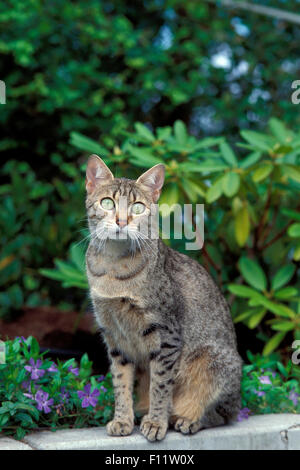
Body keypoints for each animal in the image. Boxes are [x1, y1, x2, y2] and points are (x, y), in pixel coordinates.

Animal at [84, 154, 241, 440]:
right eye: (107, 202)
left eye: (137, 207)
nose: (121, 221)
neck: (113, 266)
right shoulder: (115, 337)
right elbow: (121, 383)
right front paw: (122, 419)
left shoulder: (166, 335)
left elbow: (160, 385)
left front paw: (157, 422)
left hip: (213, 362)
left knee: (223, 414)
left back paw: (186, 419)